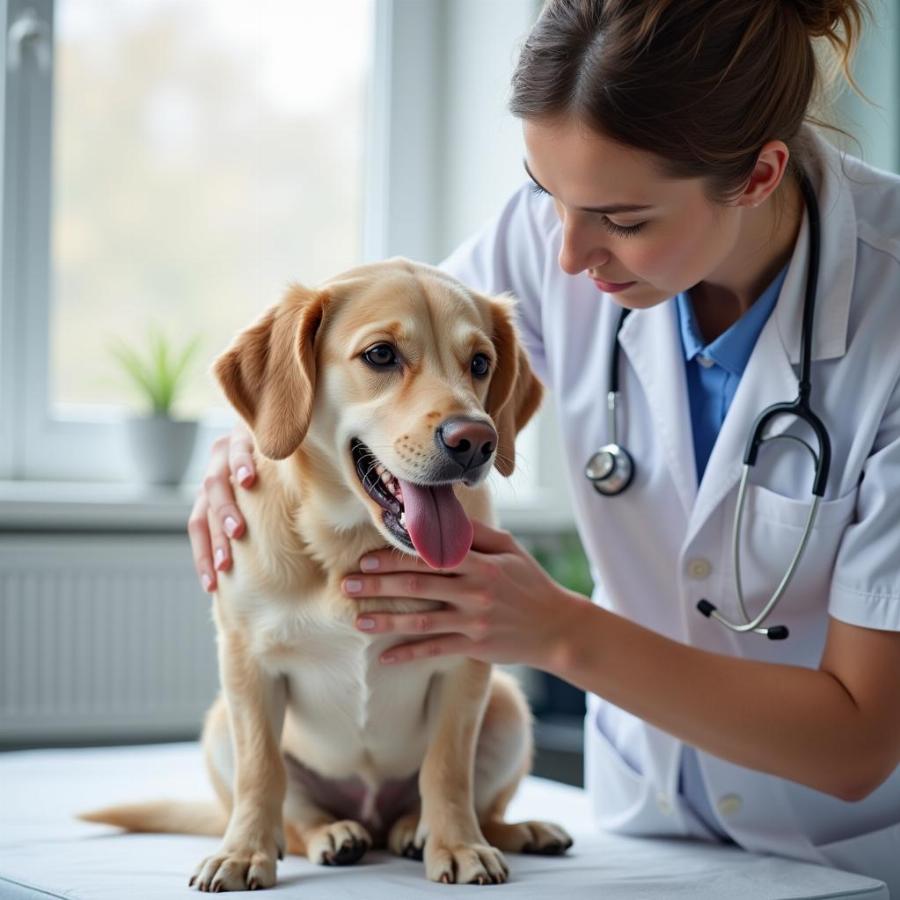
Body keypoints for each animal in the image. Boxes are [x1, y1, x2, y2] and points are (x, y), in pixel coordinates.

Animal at [81, 256, 572, 888]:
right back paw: (333, 834)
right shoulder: (247, 664)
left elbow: (446, 771)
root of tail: (372, 814)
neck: (349, 547)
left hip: (509, 708)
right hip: (220, 724)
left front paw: (459, 845)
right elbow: (262, 774)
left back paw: (466, 831)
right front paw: (244, 854)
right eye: (381, 355)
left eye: (481, 363)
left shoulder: (465, 665)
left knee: (472, 805)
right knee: (294, 819)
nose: (476, 441)